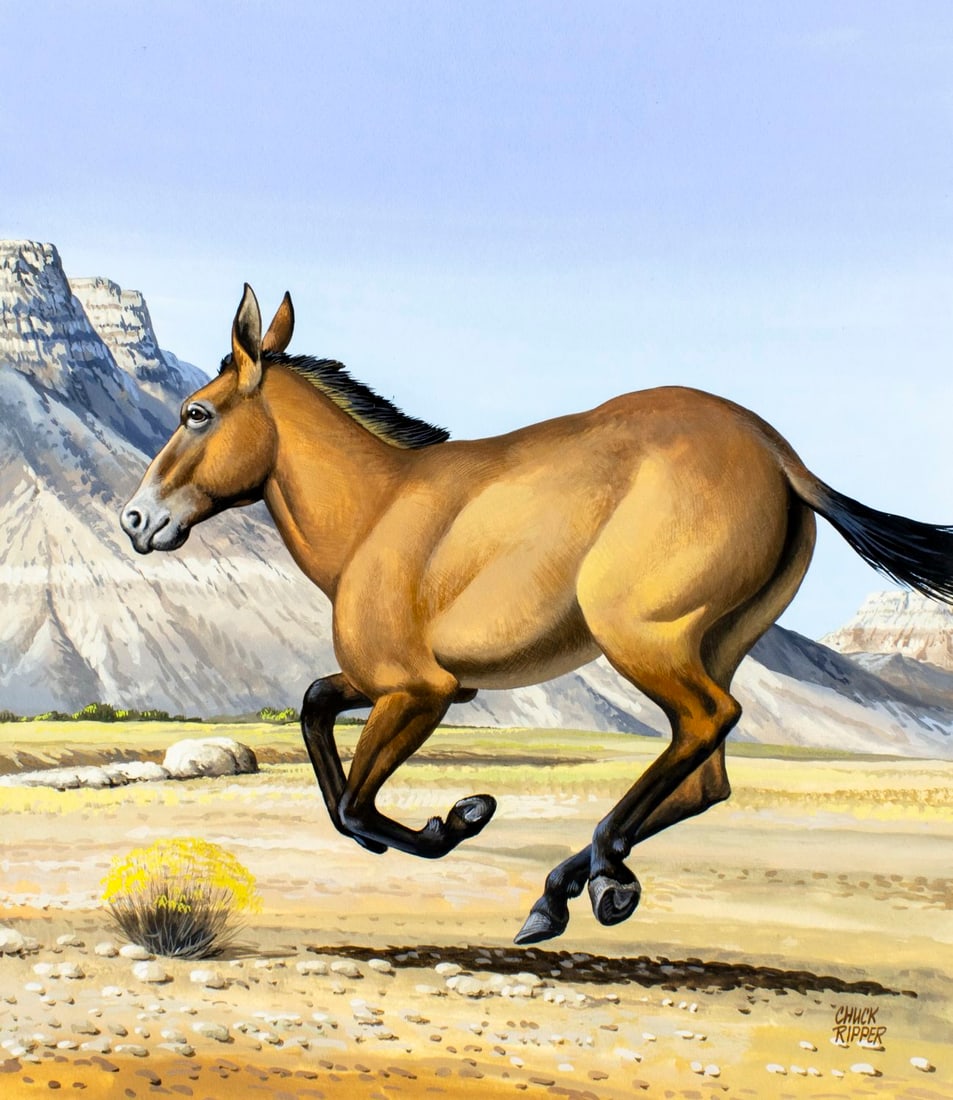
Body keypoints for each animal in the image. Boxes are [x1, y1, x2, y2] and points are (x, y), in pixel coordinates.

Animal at [121, 285, 953, 944]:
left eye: (196, 413)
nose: (136, 520)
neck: (376, 509)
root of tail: (779, 456)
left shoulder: (418, 691)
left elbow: (355, 805)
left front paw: (460, 817)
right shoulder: (403, 683)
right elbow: (317, 712)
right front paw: (453, 820)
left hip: (643, 640)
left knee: (705, 724)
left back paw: (597, 877)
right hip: (712, 642)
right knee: (707, 778)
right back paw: (565, 891)